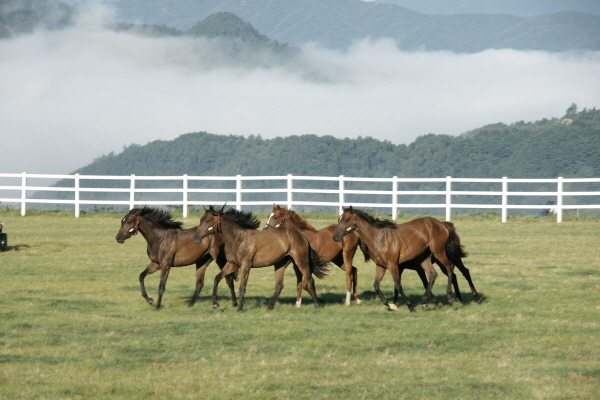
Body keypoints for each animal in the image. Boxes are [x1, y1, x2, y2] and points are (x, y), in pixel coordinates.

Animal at [115, 208, 258, 308]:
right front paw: (149, 300)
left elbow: (161, 285)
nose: (118, 238)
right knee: (200, 284)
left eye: (129, 221)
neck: (158, 238)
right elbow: (141, 276)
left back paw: (233, 303)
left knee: (228, 280)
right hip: (202, 261)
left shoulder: (165, 265)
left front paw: (157, 305)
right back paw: (191, 304)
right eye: (122, 221)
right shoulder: (155, 263)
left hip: (220, 260)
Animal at [193, 206, 328, 312]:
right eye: (201, 220)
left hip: (301, 262)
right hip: (281, 264)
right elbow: (217, 278)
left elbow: (242, 287)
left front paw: (240, 308)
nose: (196, 237)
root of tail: (302, 236)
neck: (238, 239)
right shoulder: (232, 264)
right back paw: (270, 307)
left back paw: (317, 305)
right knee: (279, 285)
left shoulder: (246, 266)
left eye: (208, 220)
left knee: (309, 280)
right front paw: (215, 303)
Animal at [330, 206, 480, 312]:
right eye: (339, 219)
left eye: (346, 220)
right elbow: (377, 286)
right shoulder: (381, 266)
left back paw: (455, 298)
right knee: (434, 274)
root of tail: (443, 225)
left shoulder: (393, 265)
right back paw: (425, 303)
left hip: (440, 253)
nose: (335, 237)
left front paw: (409, 306)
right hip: (425, 259)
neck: (378, 238)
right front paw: (390, 305)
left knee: (453, 271)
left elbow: (398, 285)